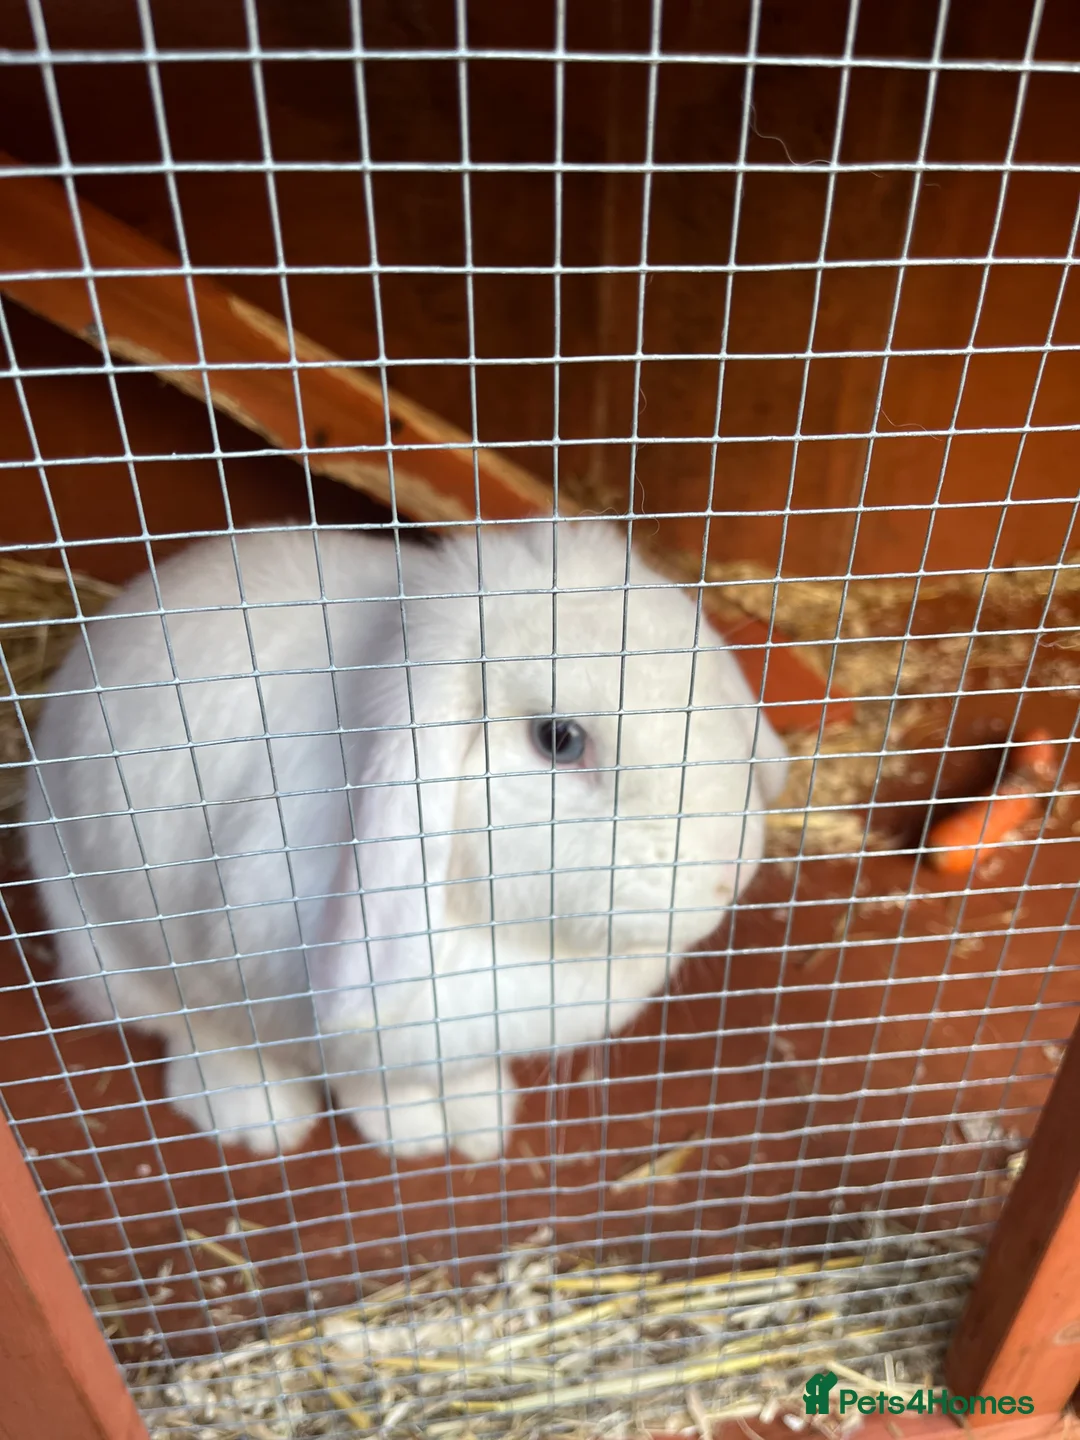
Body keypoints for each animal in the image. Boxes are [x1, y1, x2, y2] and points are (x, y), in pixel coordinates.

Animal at [23, 519, 788, 1160]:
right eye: (559, 740)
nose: (728, 876)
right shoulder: (334, 1027)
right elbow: (372, 1085)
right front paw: (416, 1137)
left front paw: (482, 1119)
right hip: (113, 956)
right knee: (188, 1027)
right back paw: (257, 1114)